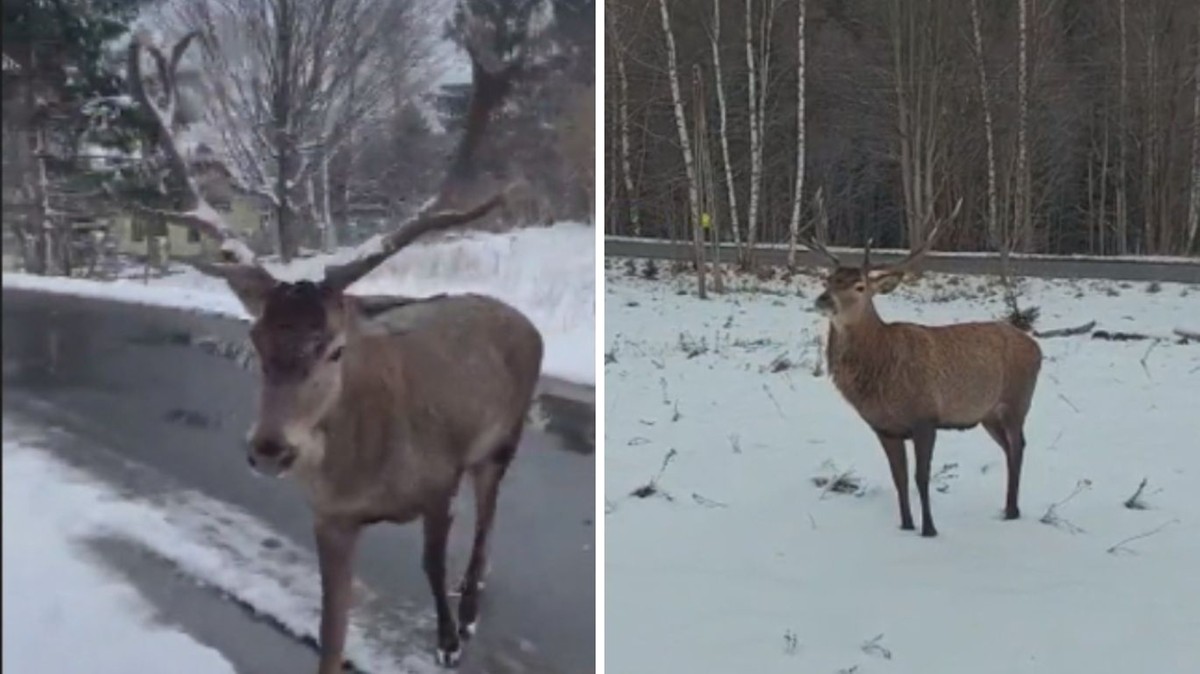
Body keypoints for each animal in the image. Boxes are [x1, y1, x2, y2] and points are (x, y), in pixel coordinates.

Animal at [123, 32, 544, 666]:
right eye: (255, 339)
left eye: (335, 349)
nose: (271, 449)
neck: (366, 473)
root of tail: (523, 321)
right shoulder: (330, 517)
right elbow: (331, 632)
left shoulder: (440, 476)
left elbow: (430, 565)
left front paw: (447, 639)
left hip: (503, 437)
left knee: (487, 521)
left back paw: (469, 608)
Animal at [801, 199, 1046, 534]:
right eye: (828, 280)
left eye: (860, 286)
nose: (824, 299)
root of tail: (1037, 348)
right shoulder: (884, 428)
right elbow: (900, 478)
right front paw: (906, 525)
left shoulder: (925, 417)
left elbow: (921, 477)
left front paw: (929, 530)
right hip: (988, 413)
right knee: (1009, 448)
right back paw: (1009, 508)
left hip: (1017, 401)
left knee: (1019, 446)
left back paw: (1011, 511)